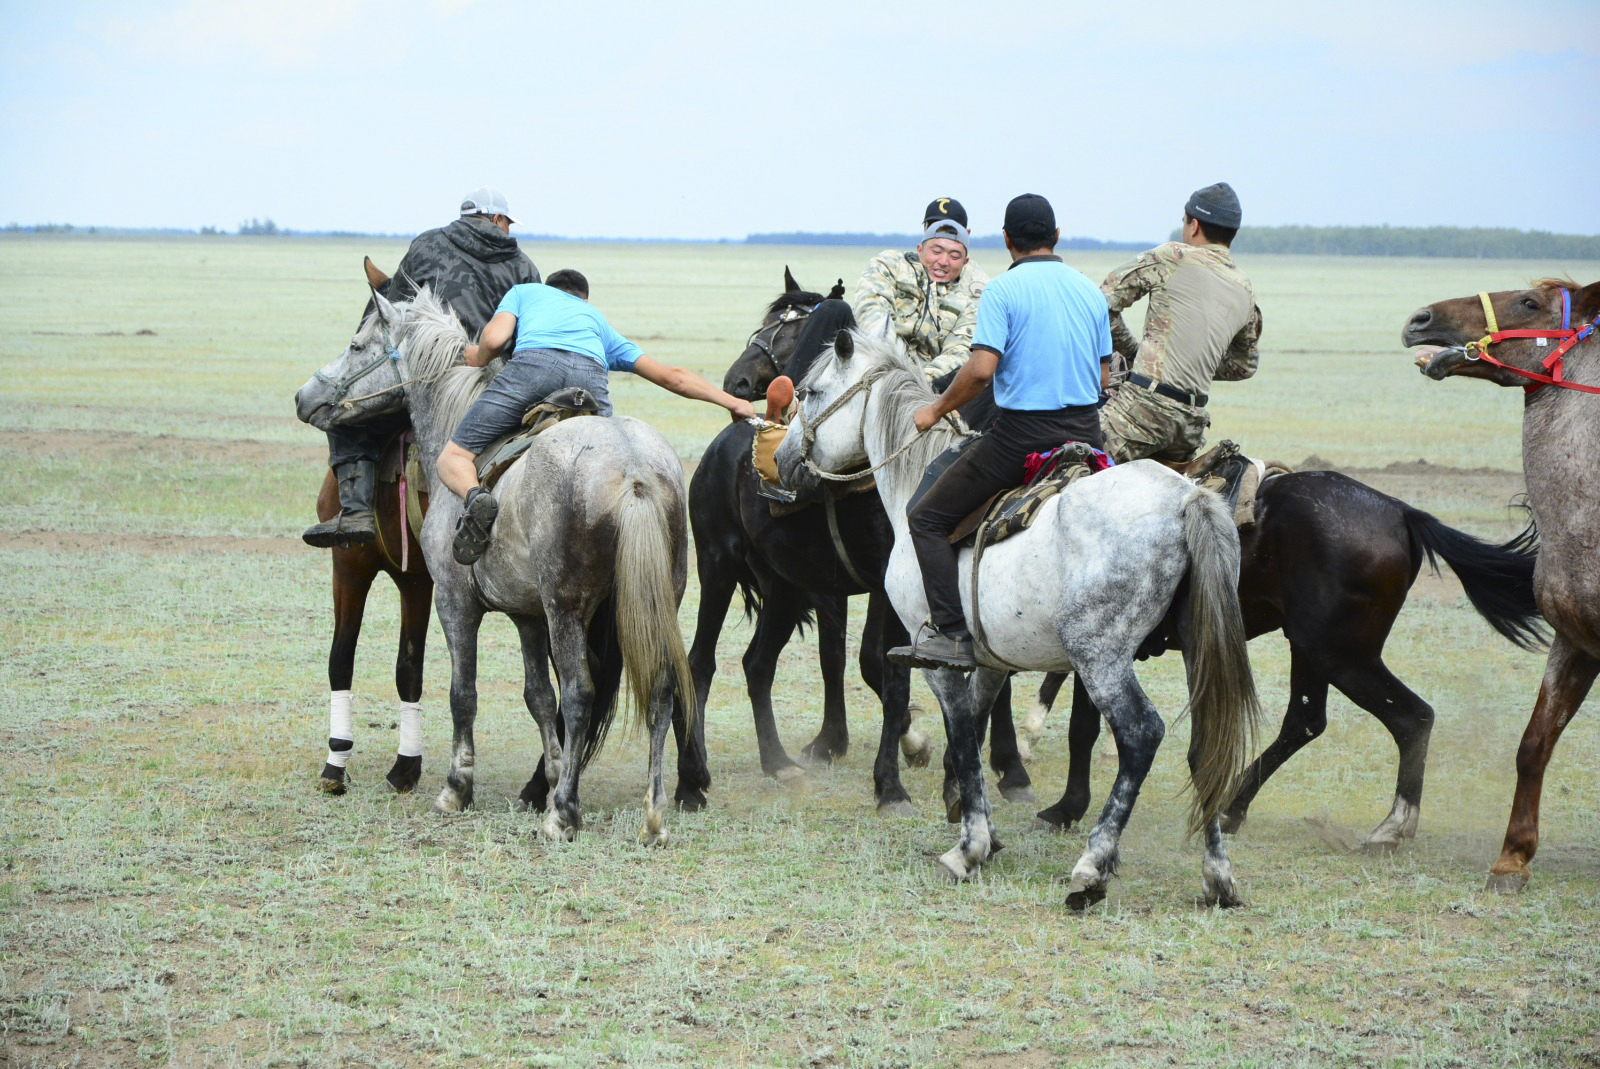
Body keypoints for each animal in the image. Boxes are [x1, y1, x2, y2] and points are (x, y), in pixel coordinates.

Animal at [299, 286, 694, 844]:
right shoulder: (528, 615)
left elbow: (462, 694)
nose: (304, 397)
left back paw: (563, 814)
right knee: (660, 689)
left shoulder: (453, 602)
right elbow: (538, 697)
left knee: (580, 694)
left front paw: (457, 788)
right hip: (655, 601)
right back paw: (652, 813)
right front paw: (551, 774)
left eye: (356, 346)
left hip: (568, 610)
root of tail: (632, 466)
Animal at [777, 328, 1260, 908]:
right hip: (1195, 648)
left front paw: (969, 848)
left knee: (1141, 734)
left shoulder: (938, 660)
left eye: (811, 392)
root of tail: (1188, 499)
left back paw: (1092, 866)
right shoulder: (988, 659)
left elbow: (964, 736)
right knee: (1206, 743)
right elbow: (976, 725)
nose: (781, 458)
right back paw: (1217, 875)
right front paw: (970, 814)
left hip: (1099, 656)